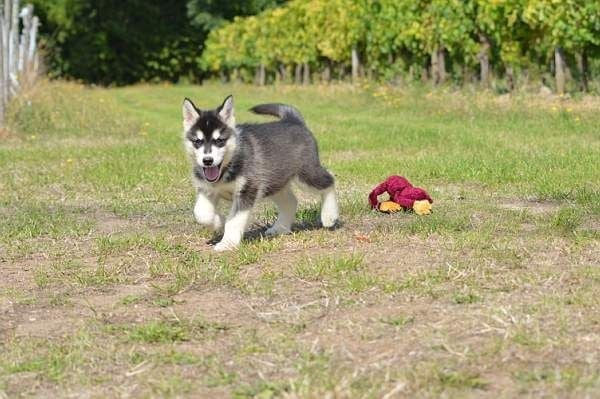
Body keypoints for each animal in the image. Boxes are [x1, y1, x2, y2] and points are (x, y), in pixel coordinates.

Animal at [180, 95, 340, 252]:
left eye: (219, 140)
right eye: (198, 141)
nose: (207, 160)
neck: (227, 167)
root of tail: (292, 120)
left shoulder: (247, 190)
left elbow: (234, 221)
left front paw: (228, 243)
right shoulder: (206, 189)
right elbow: (201, 213)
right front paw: (219, 222)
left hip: (306, 174)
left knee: (330, 179)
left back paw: (329, 216)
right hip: (274, 183)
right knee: (291, 202)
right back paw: (279, 229)